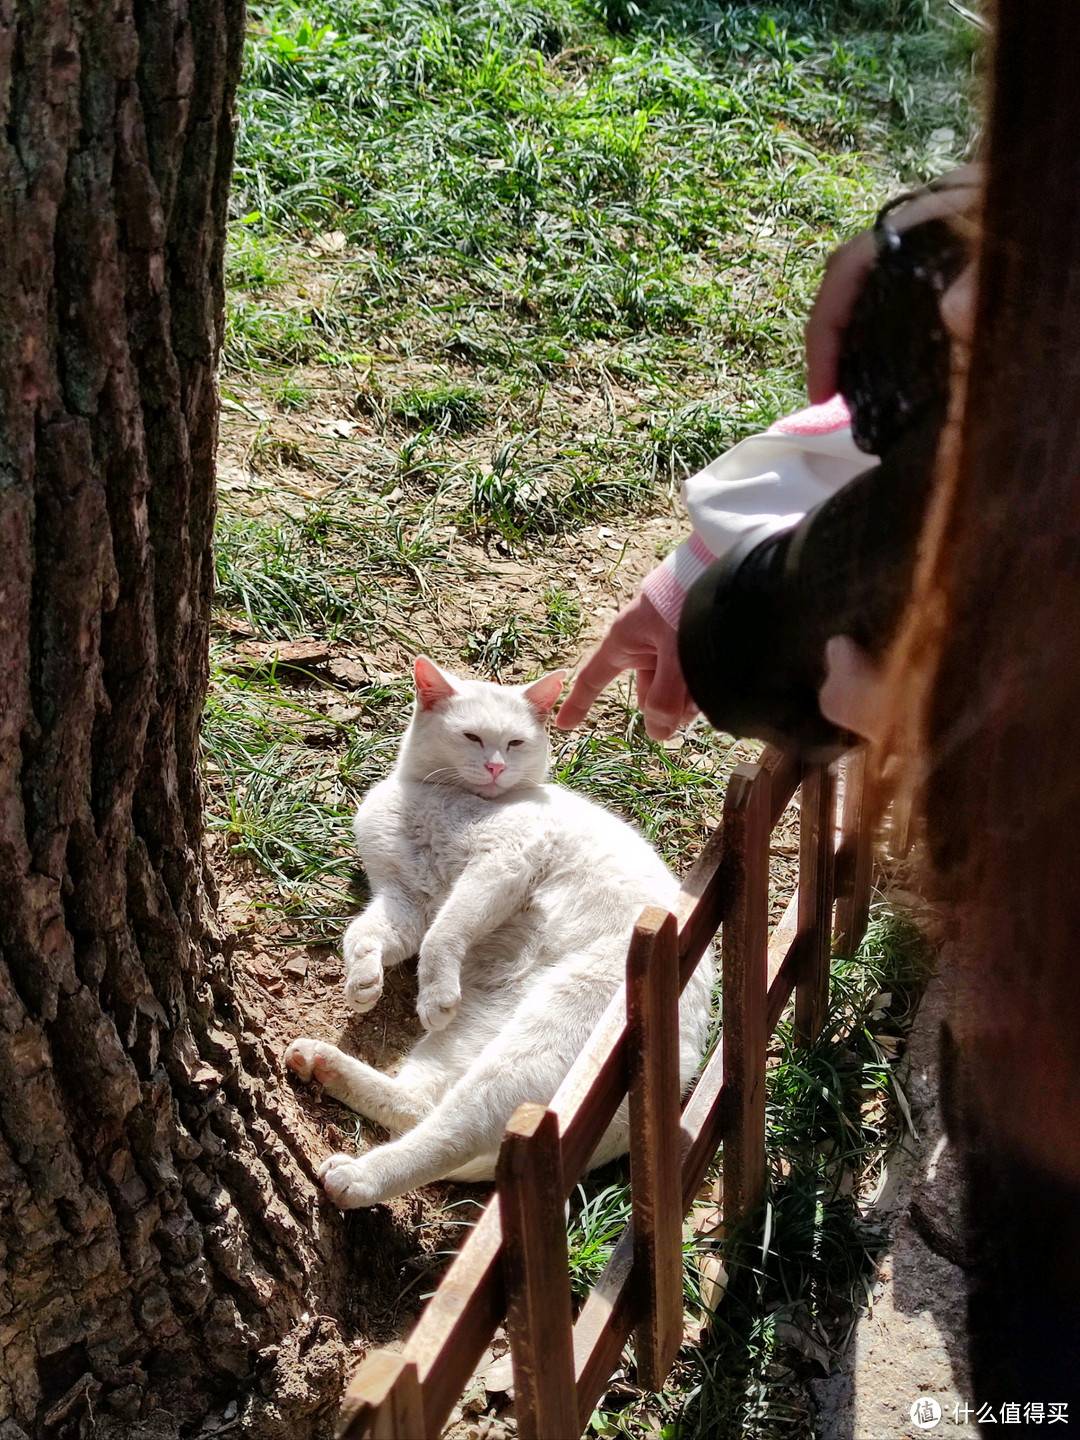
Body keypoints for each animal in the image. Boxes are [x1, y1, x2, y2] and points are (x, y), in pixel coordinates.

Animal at [283, 659, 714, 1209]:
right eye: (471, 736)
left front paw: (433, 994)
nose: (494, 767)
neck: (432, 797)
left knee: (454, 1133)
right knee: (420, 1105)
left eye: (515, 743)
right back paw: (322, 1063)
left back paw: (359, 1178)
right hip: (469, 1039)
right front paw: (362, 983)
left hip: (537, 1044)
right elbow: (366, 933)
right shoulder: (406, 900)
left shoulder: (502, 865)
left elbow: (443, 934)